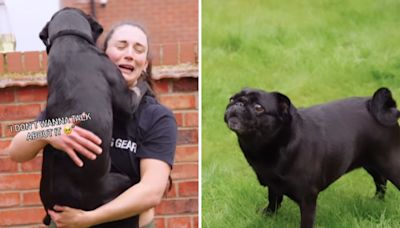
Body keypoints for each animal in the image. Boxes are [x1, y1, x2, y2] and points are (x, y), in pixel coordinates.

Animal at [223, 87, 400, 228]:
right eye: (231, 99)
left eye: (258, 107)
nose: (237, 104)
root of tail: (374, 105)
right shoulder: (273, 184)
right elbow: (274, 200)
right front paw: (268, 215)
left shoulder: (307, 198)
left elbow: (306, 220)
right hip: (371, 162)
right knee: (380, 181)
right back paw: (377, 201)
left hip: (391, 163)